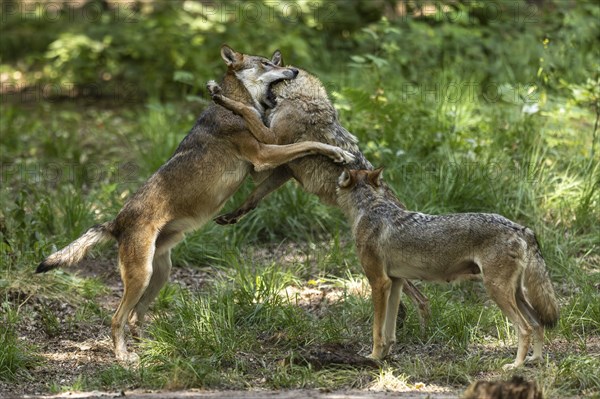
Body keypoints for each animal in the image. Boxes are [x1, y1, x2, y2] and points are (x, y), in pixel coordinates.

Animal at [36, 45, 356, 364]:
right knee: (117, 318)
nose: (294, 70)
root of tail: (115, 221)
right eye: (266, 64)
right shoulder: (263, 154)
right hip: (142, 277)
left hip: (159, 275)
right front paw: (339, 152)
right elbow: (307, 144)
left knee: (136, 317)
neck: (240, 102)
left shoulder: (260, 168)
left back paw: (154, 347)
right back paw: (125, 357)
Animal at [206, 65, 432, 332]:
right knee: (413, 299)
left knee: (422, 299)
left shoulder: (271, 139)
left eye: (267, 66)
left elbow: (245, 110)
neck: (299, 96)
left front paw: (220, 97)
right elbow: (254, 196)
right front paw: (233, 215)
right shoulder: (284, 168)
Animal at [336, 167, 560, 370]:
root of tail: (520, 228)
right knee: (538, 323)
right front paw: (384, 356)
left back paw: (516, 365)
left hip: (497, 291)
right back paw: (535, 360)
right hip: (516, 293)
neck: (368, 208)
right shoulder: (396, 282)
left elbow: (377, 330)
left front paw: (373, 357)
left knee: (525, 328)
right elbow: (389, 332)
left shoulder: (379, 282)